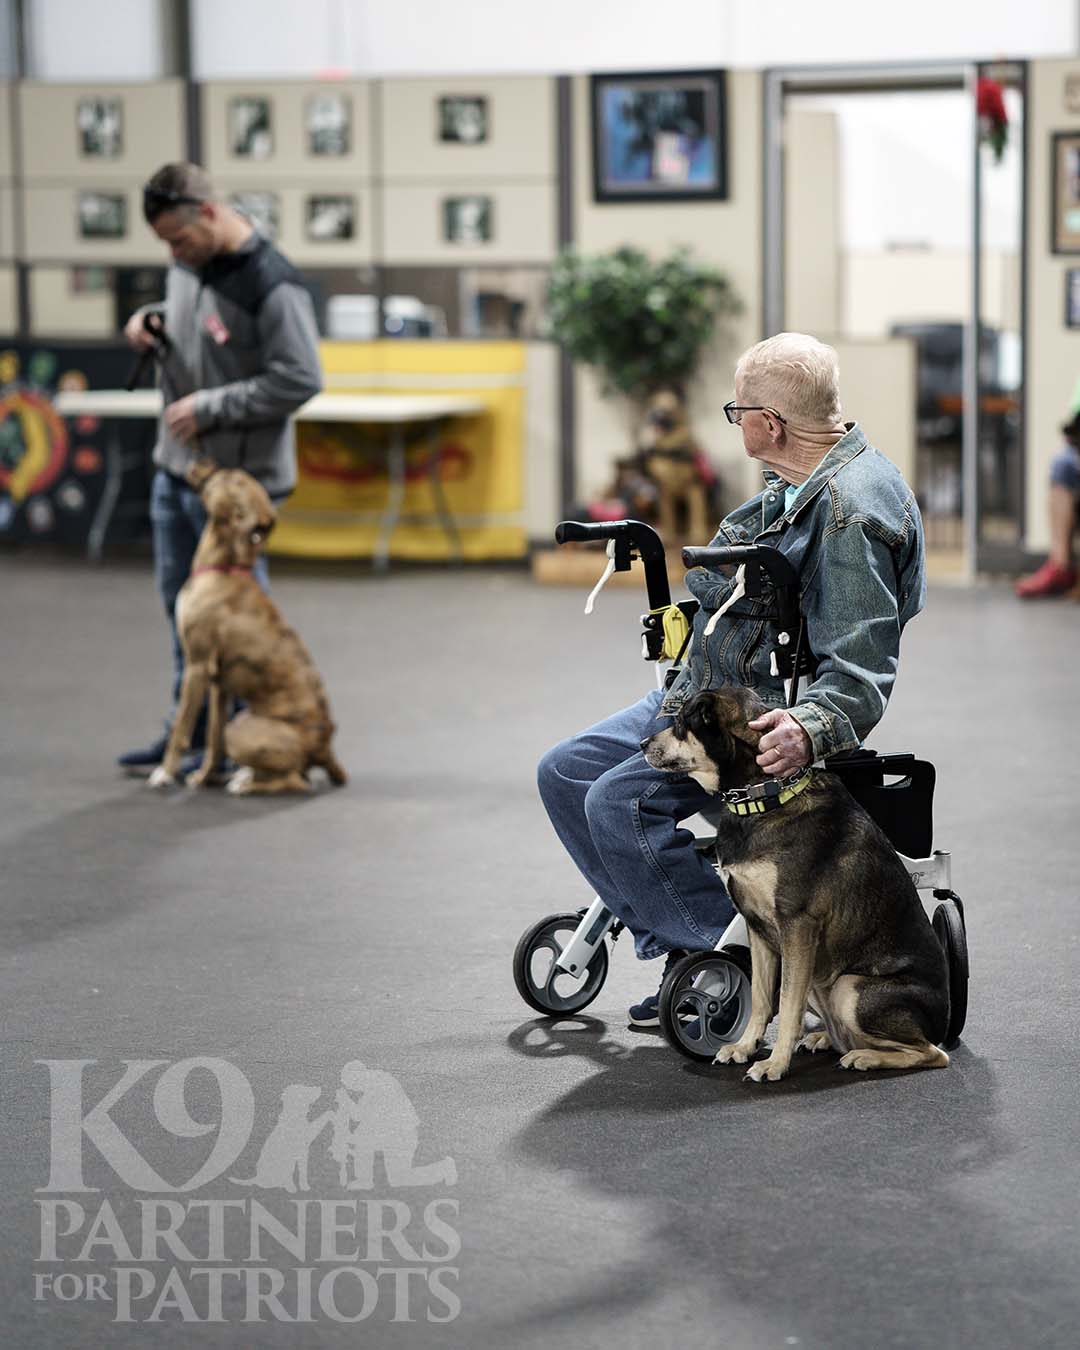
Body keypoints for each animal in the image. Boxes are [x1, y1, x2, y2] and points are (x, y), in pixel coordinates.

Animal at [147, 464, 345, 799]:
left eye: (232, 478)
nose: (206, 463)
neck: (223, 566)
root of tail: (325, 747)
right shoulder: (219, 684)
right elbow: (213, 740)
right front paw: (204, 777)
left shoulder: (196, 667)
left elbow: (181, 731)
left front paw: (165, 773)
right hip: (239, 720)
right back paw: (244, 776)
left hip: (241, 726)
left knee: (296, 781)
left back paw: (246, 784)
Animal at [642, 691, 945, 1080]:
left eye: (681, 722)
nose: (642, 744)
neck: (763, 798)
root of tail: (945, 1021)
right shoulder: (757, 926)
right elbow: (760, 998)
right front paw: (744, 1047)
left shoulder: (797, 924)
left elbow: (786, 1005)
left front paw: (774, 1064)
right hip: (820, 979)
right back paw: (827, 1040)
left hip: (848, 986)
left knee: (931, 1052)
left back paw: (865, 1057)